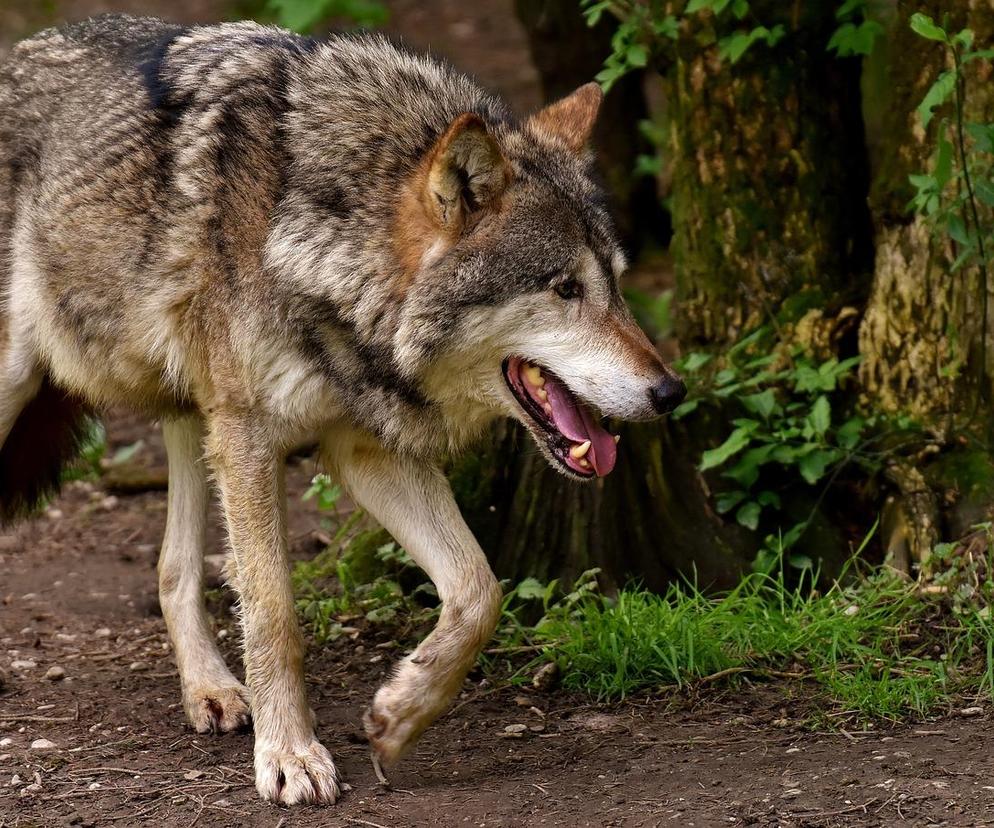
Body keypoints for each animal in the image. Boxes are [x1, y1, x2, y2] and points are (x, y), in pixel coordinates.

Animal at [0, 12, 680, 804]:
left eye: (618, 285)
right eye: (566, 289)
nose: (671, 392)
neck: (320, 240)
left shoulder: (363, 449)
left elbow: (479, 591)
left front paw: (400, 714)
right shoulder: (251, 439)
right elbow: (274, 615)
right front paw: (290, 754)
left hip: (194, 418)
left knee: (173, 568)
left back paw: (212, 691)